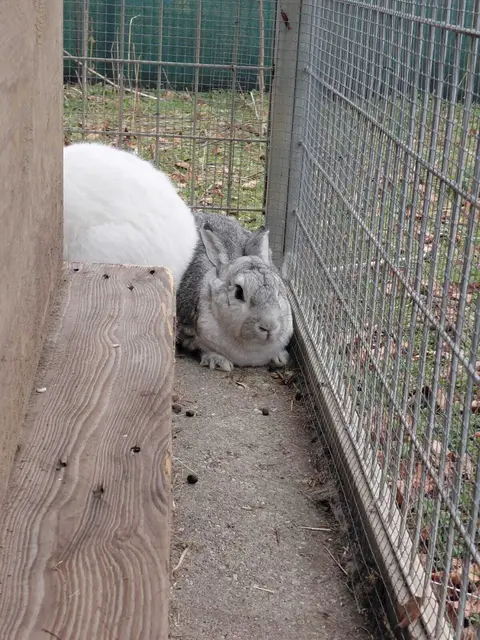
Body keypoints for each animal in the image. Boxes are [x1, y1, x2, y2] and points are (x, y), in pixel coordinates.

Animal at [177, 211, 293, 371]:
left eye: (279, 292)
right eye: (239, 293)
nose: (269, 326)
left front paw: (280, 358)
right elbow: (200, 348)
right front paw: (218, 361)